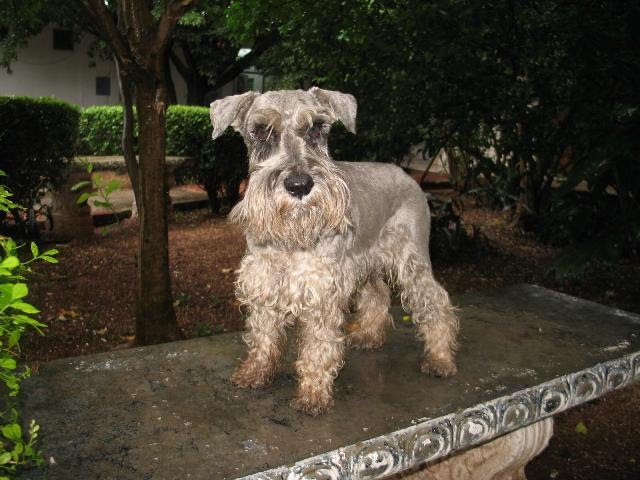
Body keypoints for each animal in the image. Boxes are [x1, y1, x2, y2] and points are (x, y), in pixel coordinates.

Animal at [210, 88, 459, 415]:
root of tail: (407, 176)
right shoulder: (264, 281)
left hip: (412, 262)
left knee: (436, 302)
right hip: (368, 261)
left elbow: (319, 346)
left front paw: (313, 395)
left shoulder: (322, 292)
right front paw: (256, 371)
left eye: (317, 128)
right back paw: (369, 335)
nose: (299, 184)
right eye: (261, 131)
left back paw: (440, 358)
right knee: (378, 294)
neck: (293, 237)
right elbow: (263, 333)